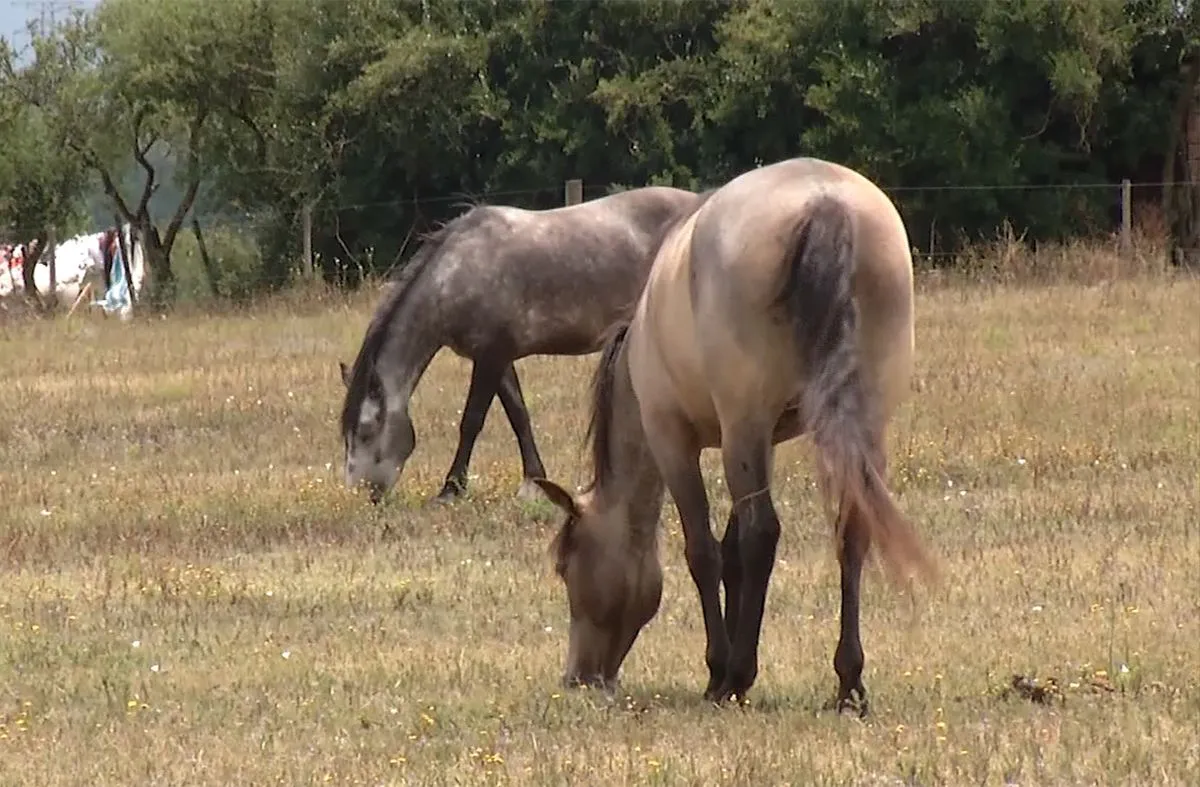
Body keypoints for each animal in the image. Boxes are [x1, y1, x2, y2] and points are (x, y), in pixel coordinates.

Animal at [338, 185, 704, 504]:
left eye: (367, 431)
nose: (367, 494)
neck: (458, 272)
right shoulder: (497, 358)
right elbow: (519, 416)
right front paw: (534, 482)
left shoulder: (491, 357)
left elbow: (472, 422)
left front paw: (451, 489)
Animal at [531, 157, 940, 715]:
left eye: (566, 566)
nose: (578, 677)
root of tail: (827, 202)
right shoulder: (756, 443)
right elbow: (731, 554)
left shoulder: (678, 441)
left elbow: (705, 551)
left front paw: (720, 669)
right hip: (859, 424)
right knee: (852, 529)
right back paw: (847, 681)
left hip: (746, 424)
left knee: (763, 533)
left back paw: (736, 674)